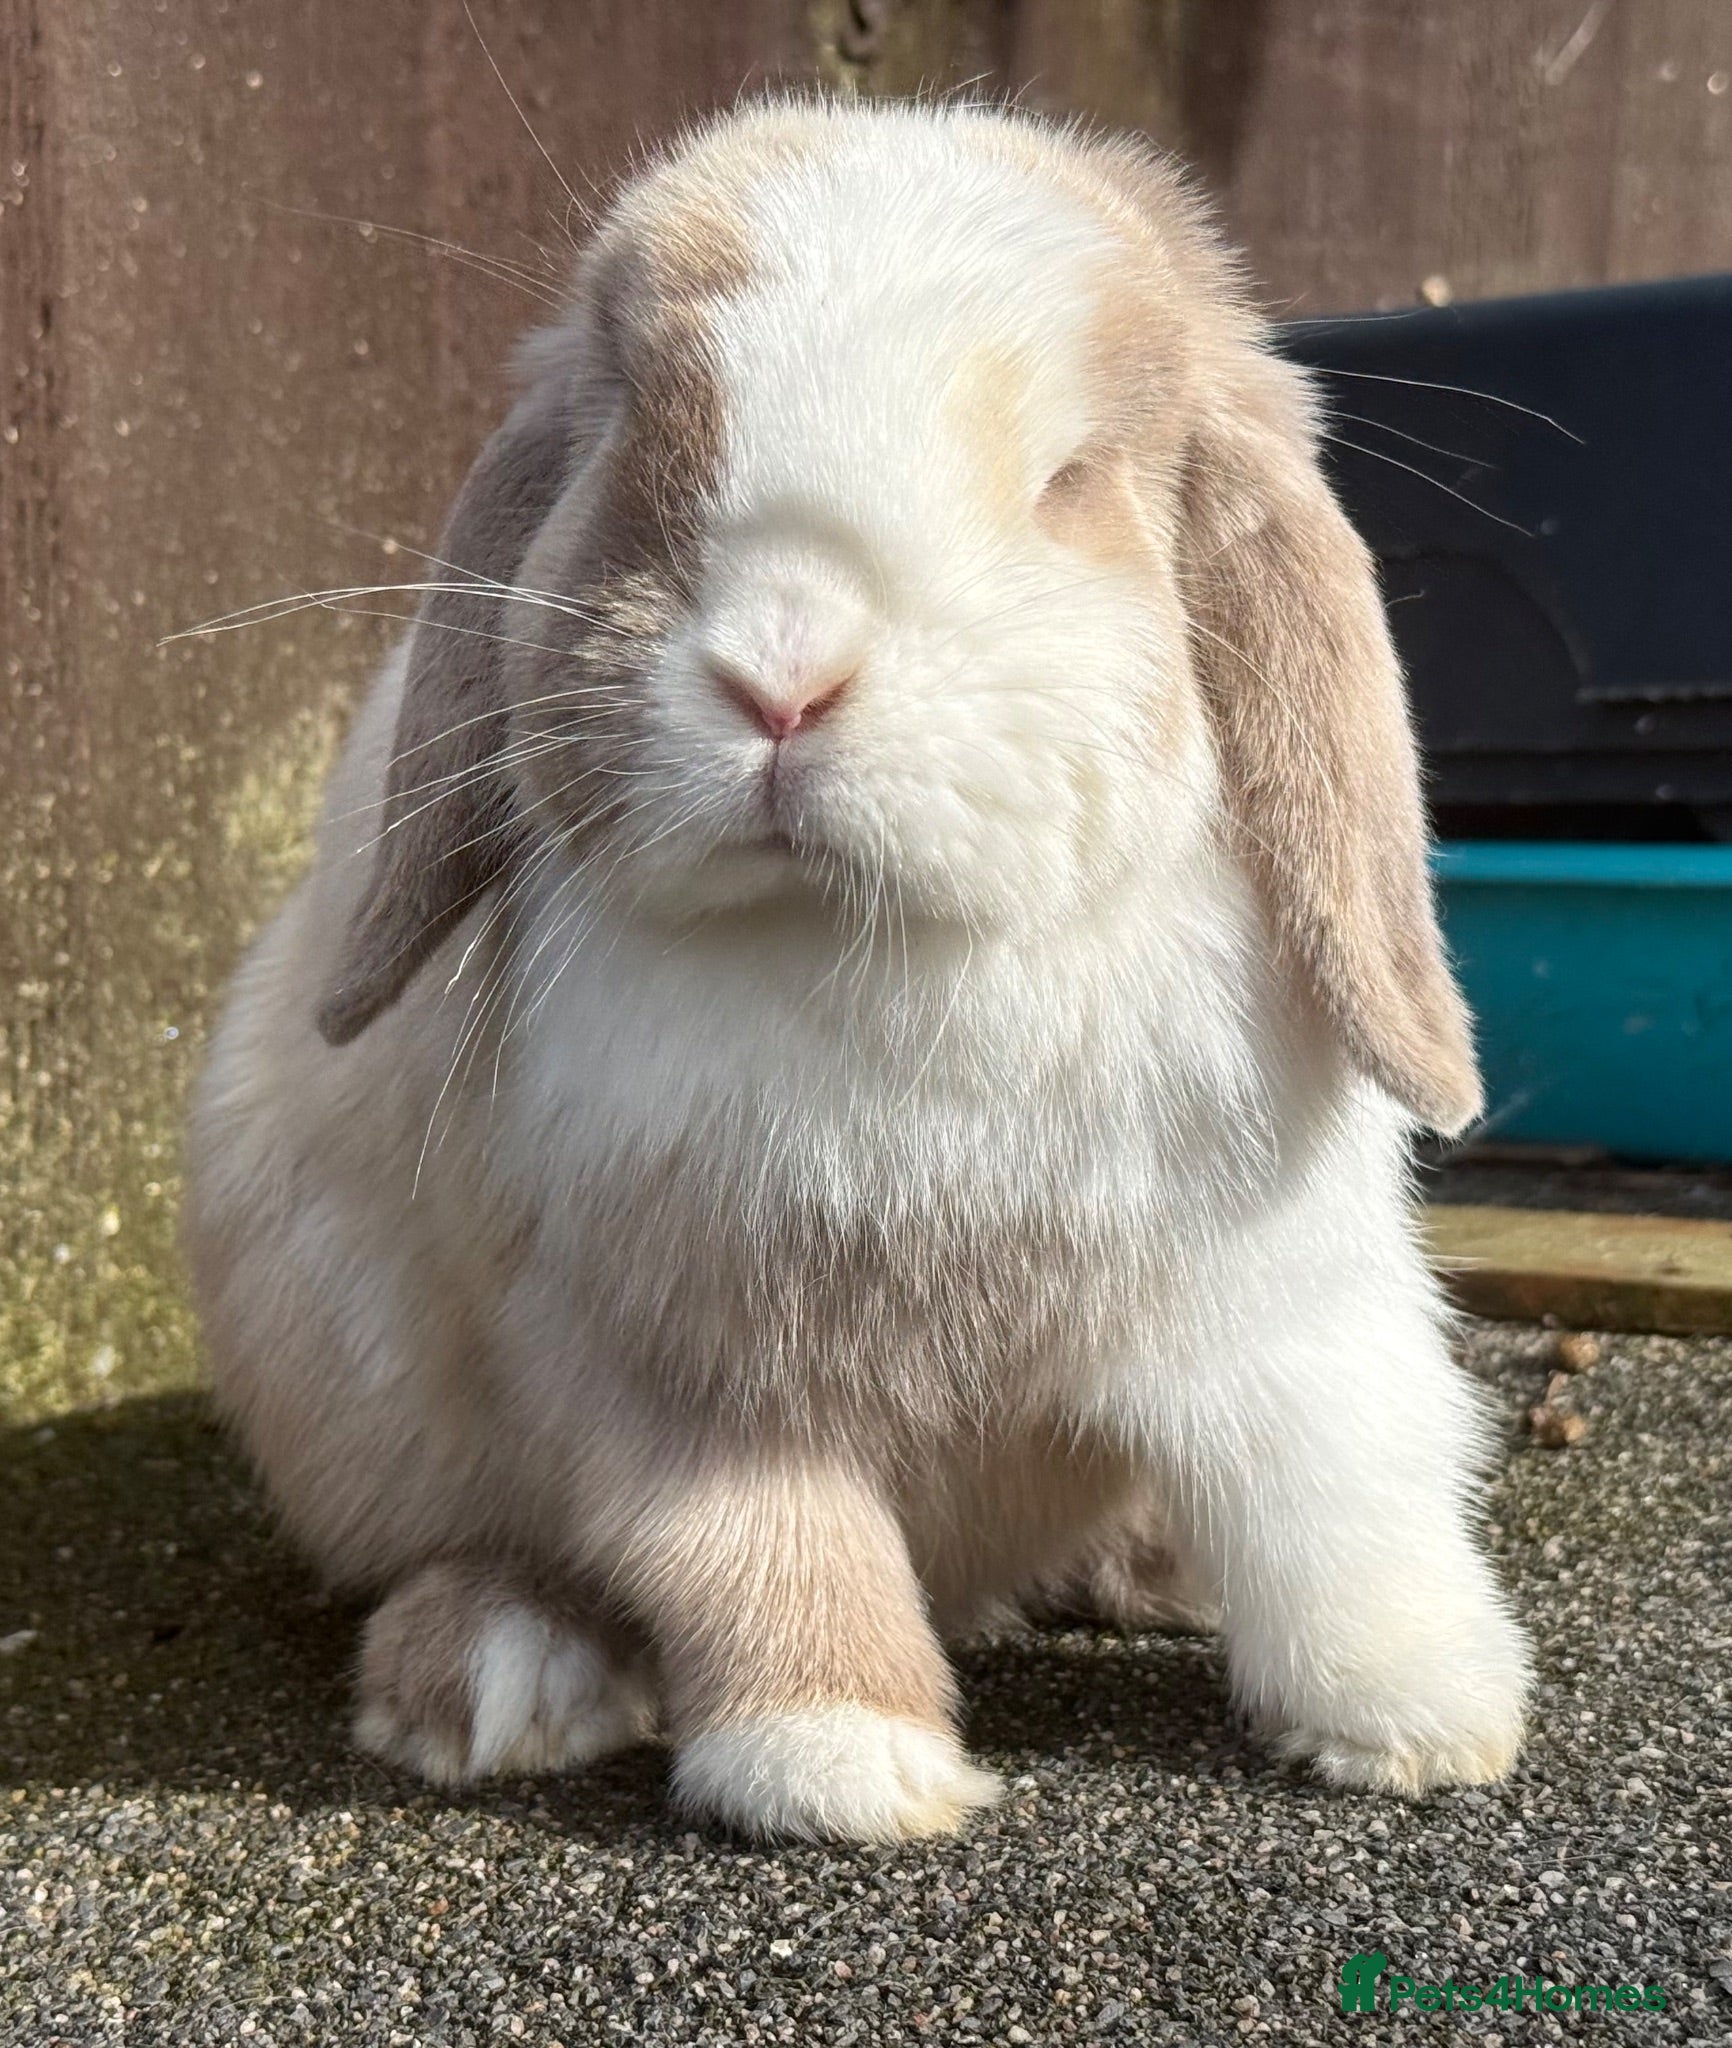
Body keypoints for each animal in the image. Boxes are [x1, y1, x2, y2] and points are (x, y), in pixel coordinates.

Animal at [184, 96, 1531, 1844]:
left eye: (1070, 481)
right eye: (640, 441)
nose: (783, 675)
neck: (882, 948)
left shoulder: (1278, 1297)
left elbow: (1342, 1485)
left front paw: (1429, 1722)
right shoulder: (680, 1366)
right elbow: (762, 1550)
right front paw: (843, 1772)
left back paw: (1154, 1569)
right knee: (465, 1555)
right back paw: (500, 1675)